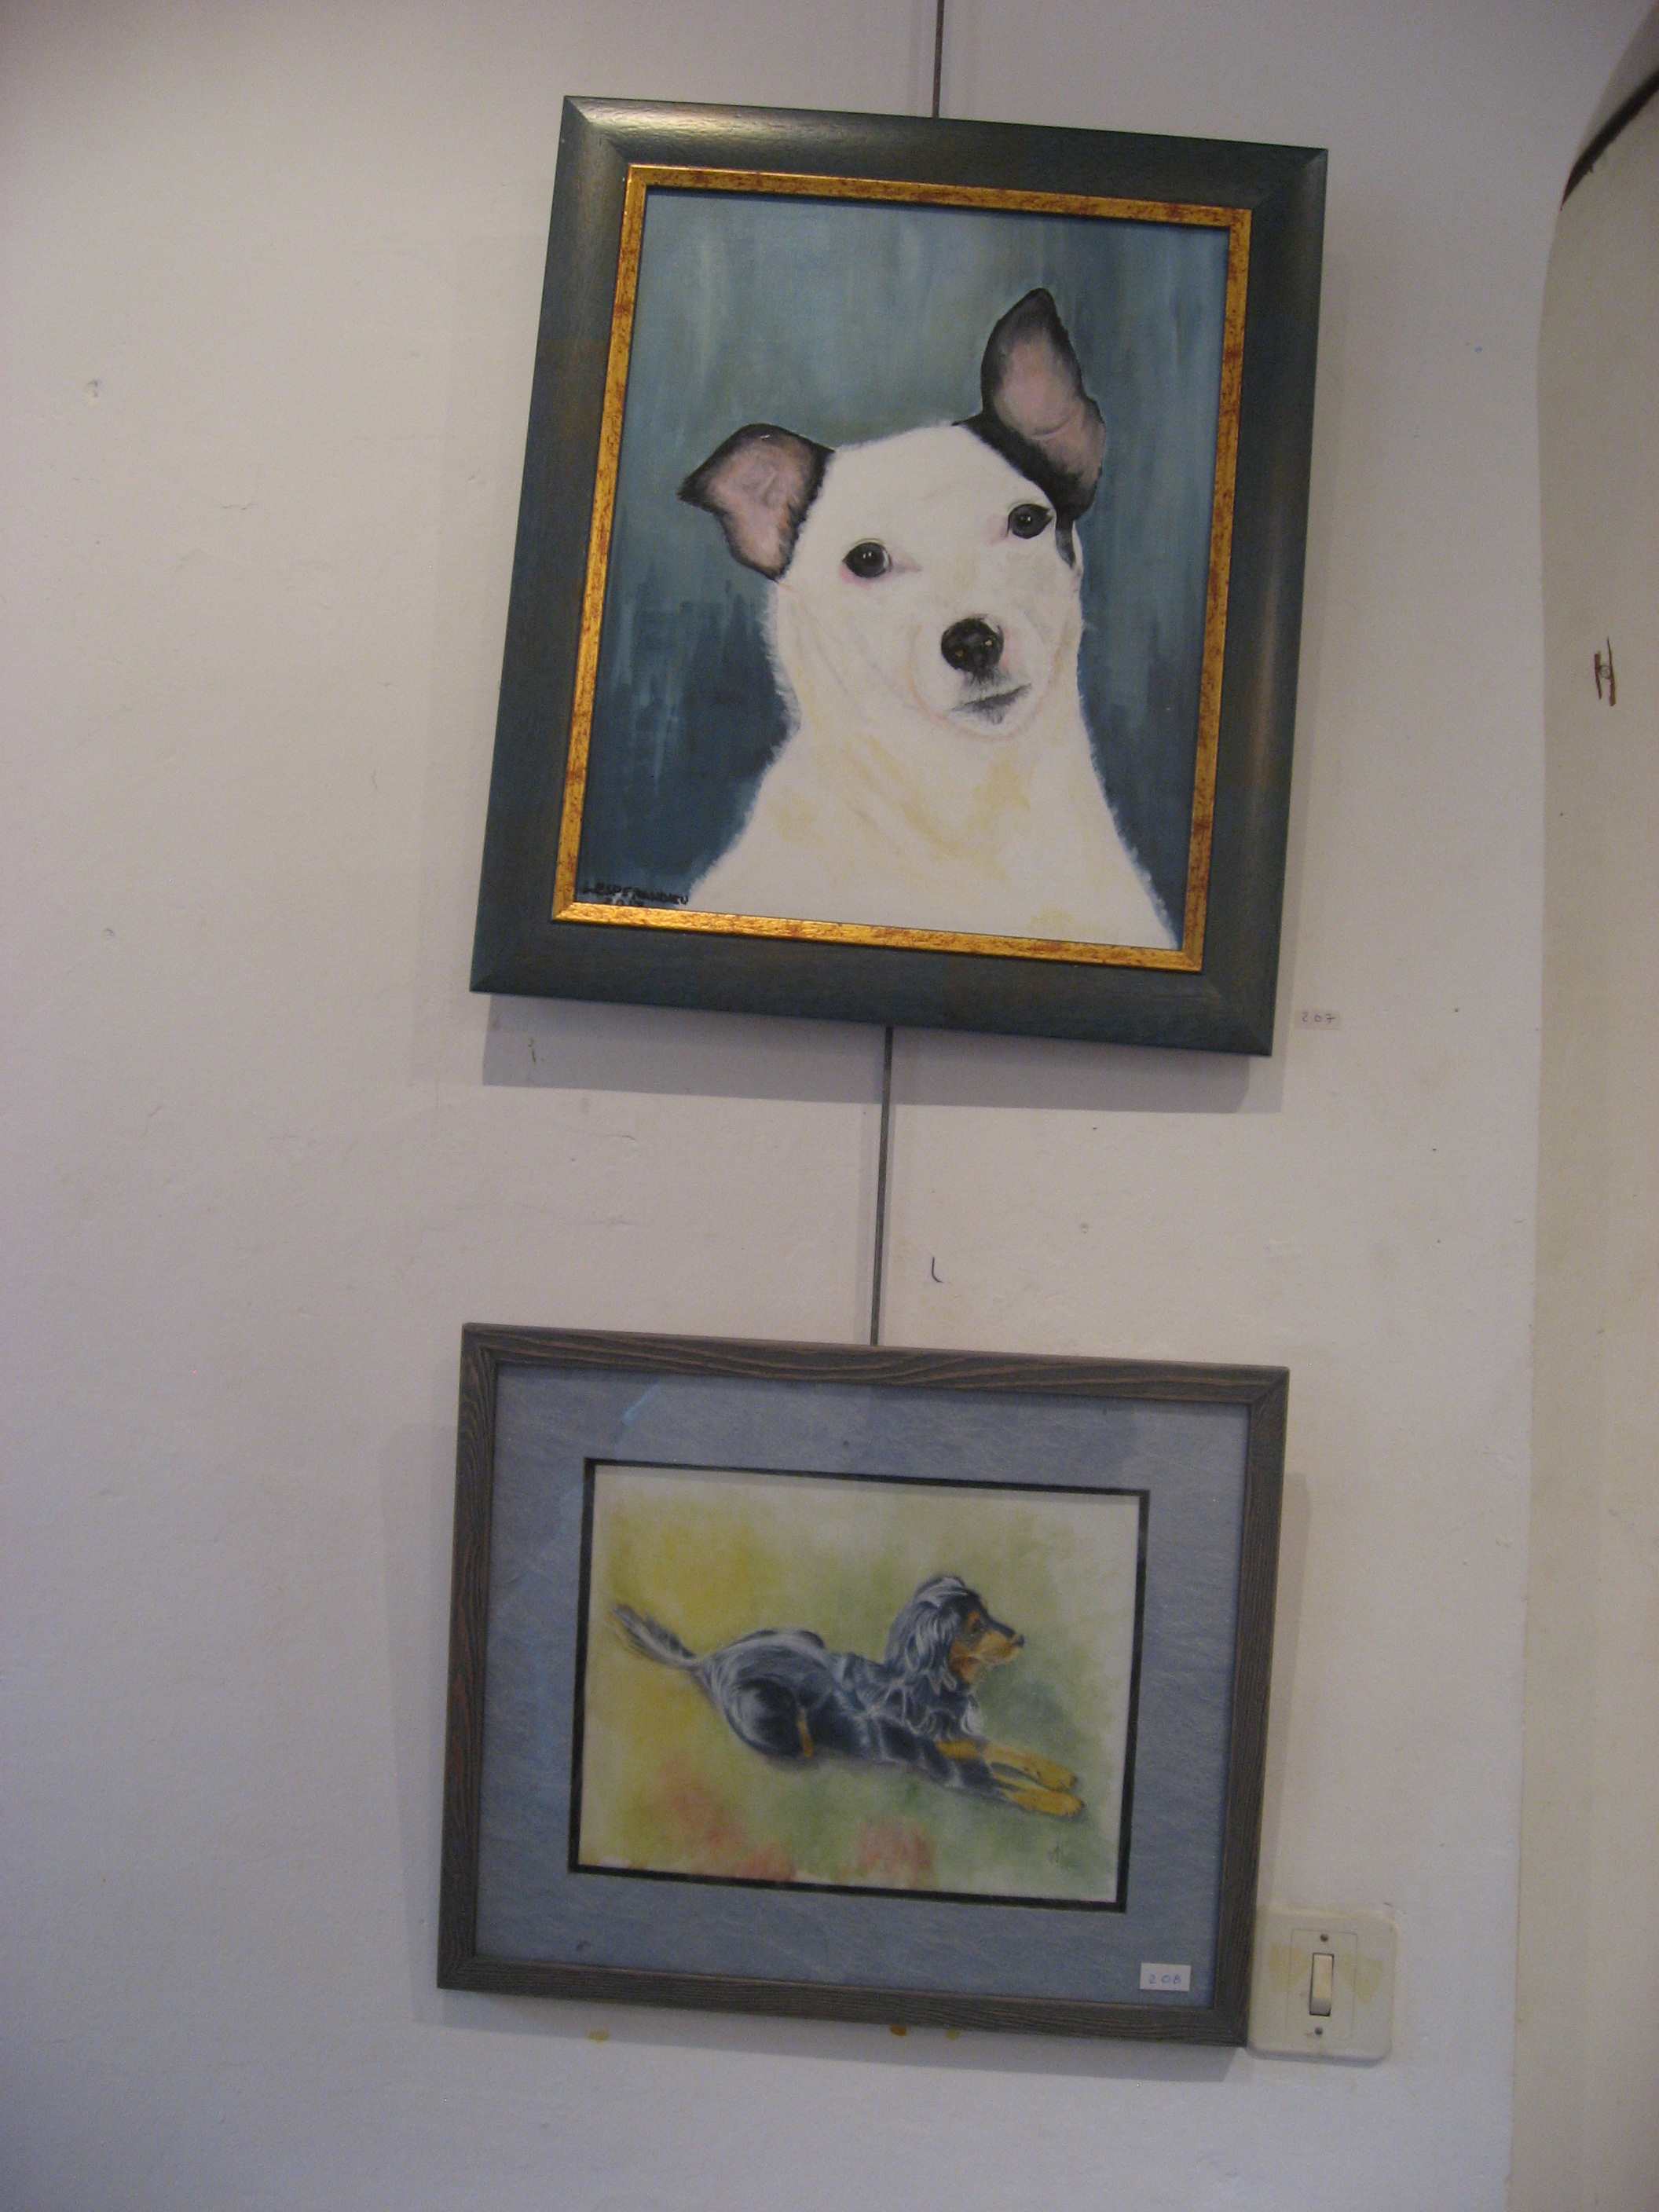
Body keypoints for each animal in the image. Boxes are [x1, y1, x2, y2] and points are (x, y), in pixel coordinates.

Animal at [611, 1573, 1082, 1817]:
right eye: (974, 1626)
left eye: (987, 1614)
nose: (1021, 1638)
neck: (931, 1689)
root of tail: (711, 1661)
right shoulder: (951, 1770)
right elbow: (1008, 1785)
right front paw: (1063, 1802)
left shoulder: (961, 1739)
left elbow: (1008, 1750)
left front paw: (1056, 1773)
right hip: (777, 1713)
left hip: (805, 1634)